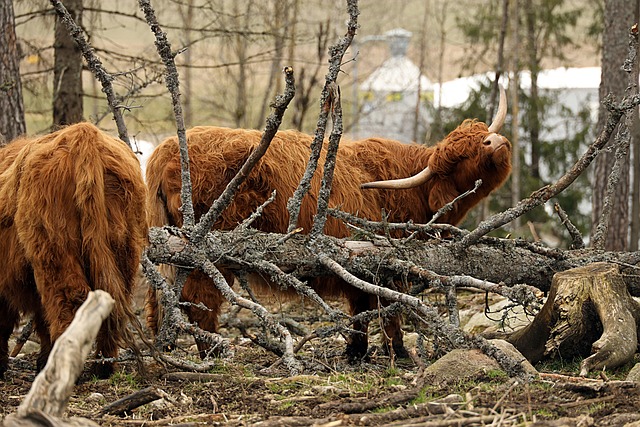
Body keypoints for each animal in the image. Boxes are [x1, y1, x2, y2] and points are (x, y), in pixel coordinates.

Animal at [145, 85, 510, 360]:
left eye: (480, 135)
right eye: (460, 157)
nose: (496, 142)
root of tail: (164, 150)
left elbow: (361, 310)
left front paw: (357, 353)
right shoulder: (385, 264)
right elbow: (388, 310)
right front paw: (399, 354)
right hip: (206, 252)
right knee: (200, 302)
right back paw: (214, 354)